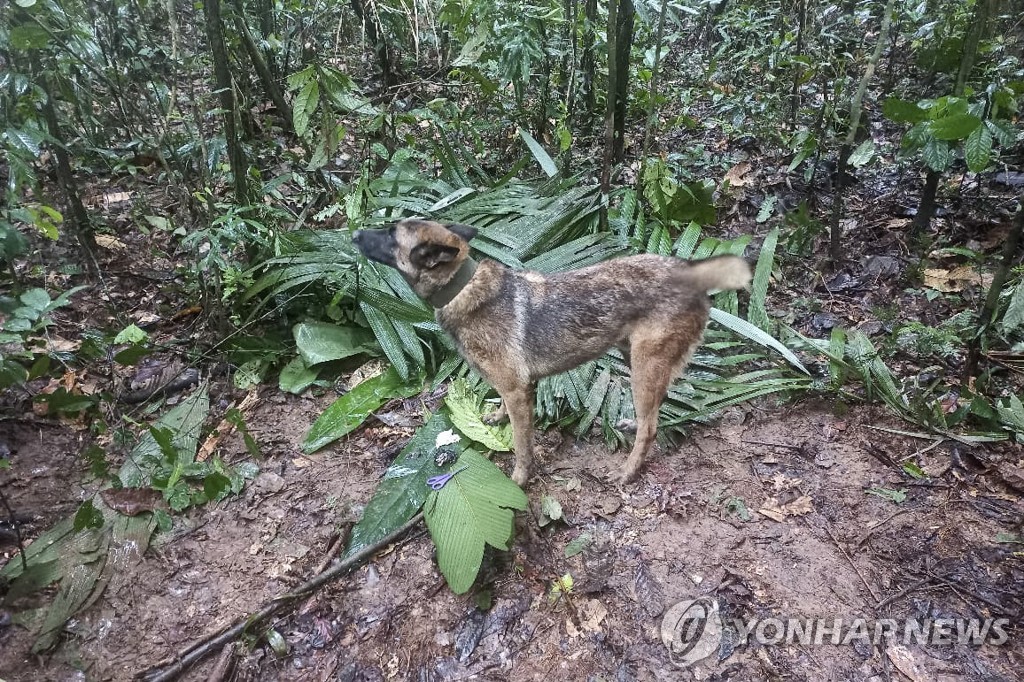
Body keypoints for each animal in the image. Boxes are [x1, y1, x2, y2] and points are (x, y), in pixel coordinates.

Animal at [354, 219, 753, 483]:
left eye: (390, 234)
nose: (355, 233)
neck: (462, 287)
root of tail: (690, 271)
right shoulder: (513, 389)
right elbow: (505, 412)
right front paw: (497, 417)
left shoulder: (518, 391)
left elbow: (521, 445)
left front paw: (519, 478)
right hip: (635, 358)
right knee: (656, 407)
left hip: (644, 365)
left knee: (652, 427)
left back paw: (627, 471)